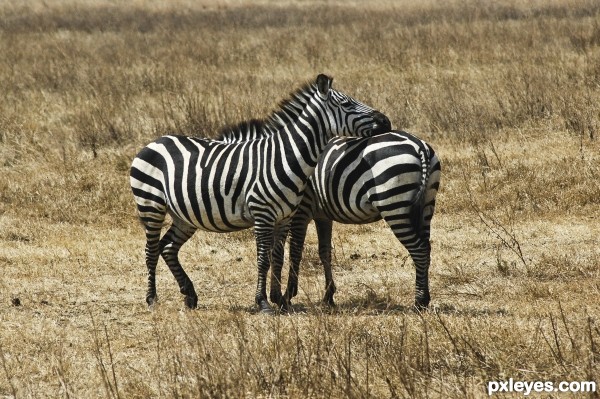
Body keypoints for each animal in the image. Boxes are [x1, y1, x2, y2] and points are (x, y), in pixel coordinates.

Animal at [129, 73, 392, 314]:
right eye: (347, 103)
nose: (386, 121)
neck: (285, 157)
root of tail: (155, 141)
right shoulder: (263, 214)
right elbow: (263, 258)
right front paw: (263, 302)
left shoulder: (284, 217)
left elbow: (278, 256)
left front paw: (279, 299)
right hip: (150, 204)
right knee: (151, 250)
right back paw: (152, 299)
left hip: (184, 215)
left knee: (167, 247)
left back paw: (190, 295)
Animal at [268, 130, 440, 310]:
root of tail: (419, 146)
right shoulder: (322, 216)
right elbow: (324, 252)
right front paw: (328, 296)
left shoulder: (302, 210)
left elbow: (294, 252)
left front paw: (288, 296)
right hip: (426, 205)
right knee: (426, 248)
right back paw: (425, 298)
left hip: (394, 205)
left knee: (419, 250)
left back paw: (419, 302)